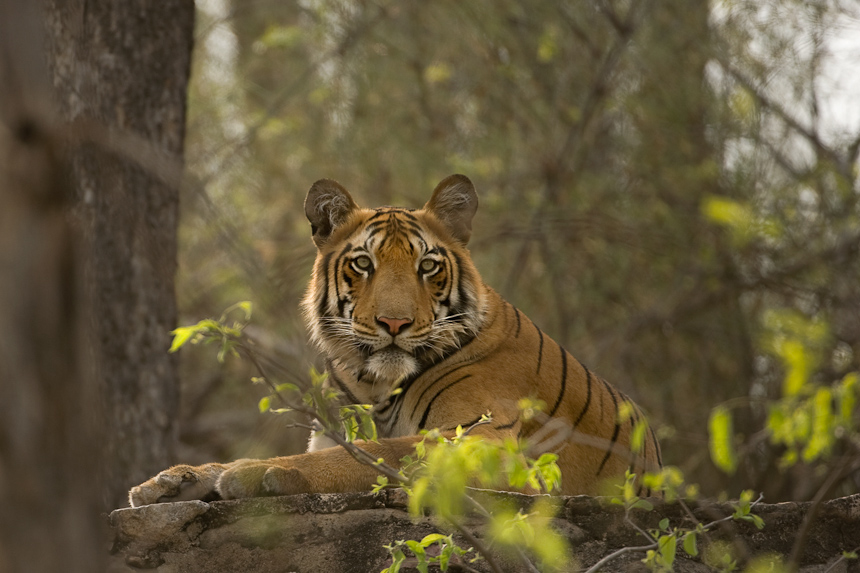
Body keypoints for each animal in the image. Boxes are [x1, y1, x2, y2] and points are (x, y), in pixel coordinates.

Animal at [129, 173, 664, 504]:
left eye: (427, 265)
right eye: (363, 263)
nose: (394, 324)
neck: (375, 385)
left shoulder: (482, 440)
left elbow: (374, 454)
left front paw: (254, 473)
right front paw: (174, 481)